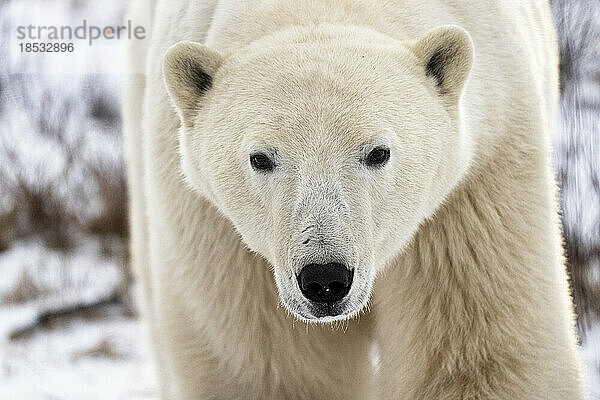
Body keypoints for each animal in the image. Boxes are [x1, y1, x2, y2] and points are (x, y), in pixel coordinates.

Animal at [122, 0, 584, 396]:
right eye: (260, 158)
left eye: (378, 152)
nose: (324, 279)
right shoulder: (219, 232)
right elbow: (270, 365)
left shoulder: (478, 181)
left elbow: (482, 358)